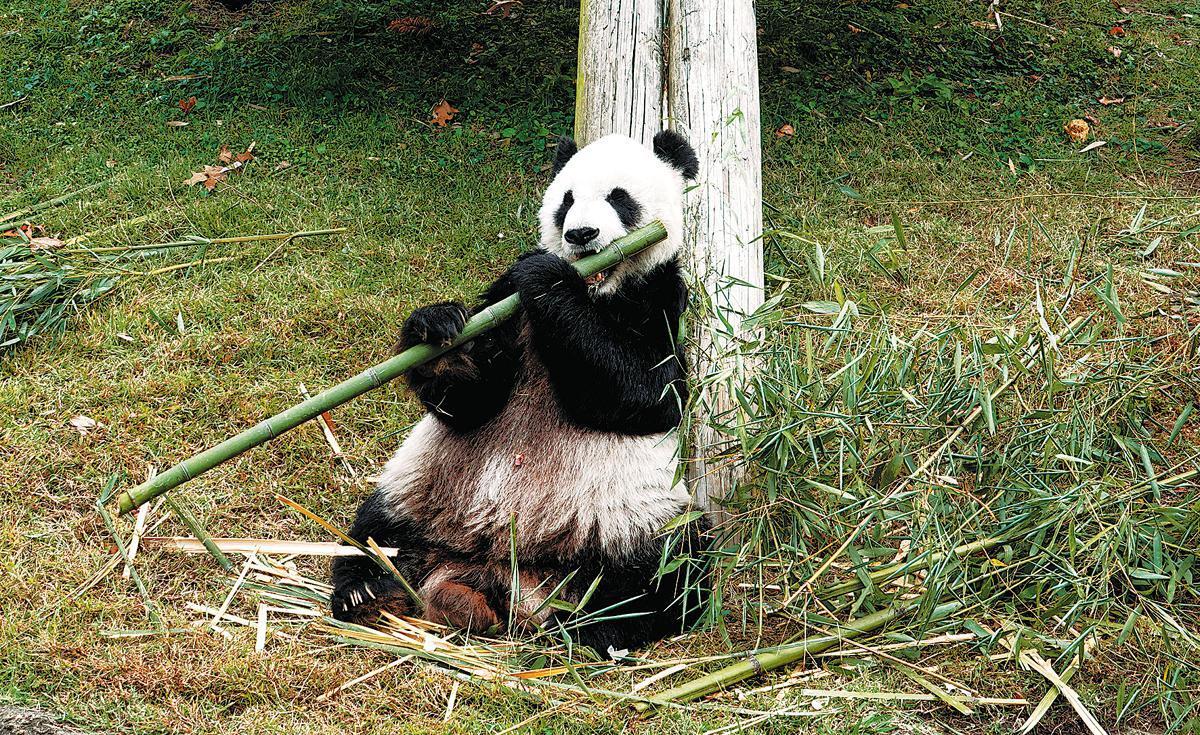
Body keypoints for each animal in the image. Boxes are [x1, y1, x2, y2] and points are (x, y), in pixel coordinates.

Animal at [330, 131, 709, 652]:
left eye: (619, 198)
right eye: (566, 201)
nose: (580, 235)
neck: (597, 289)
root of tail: (504, 577)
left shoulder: (658, 298)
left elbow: (650, 394)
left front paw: (547, 277)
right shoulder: (505, 304)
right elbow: (470, 401)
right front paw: (440, 330)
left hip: (632, 516)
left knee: (670, 568)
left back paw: (602, 626)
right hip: (422, 491)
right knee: (376, 532)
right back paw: (369, 592)